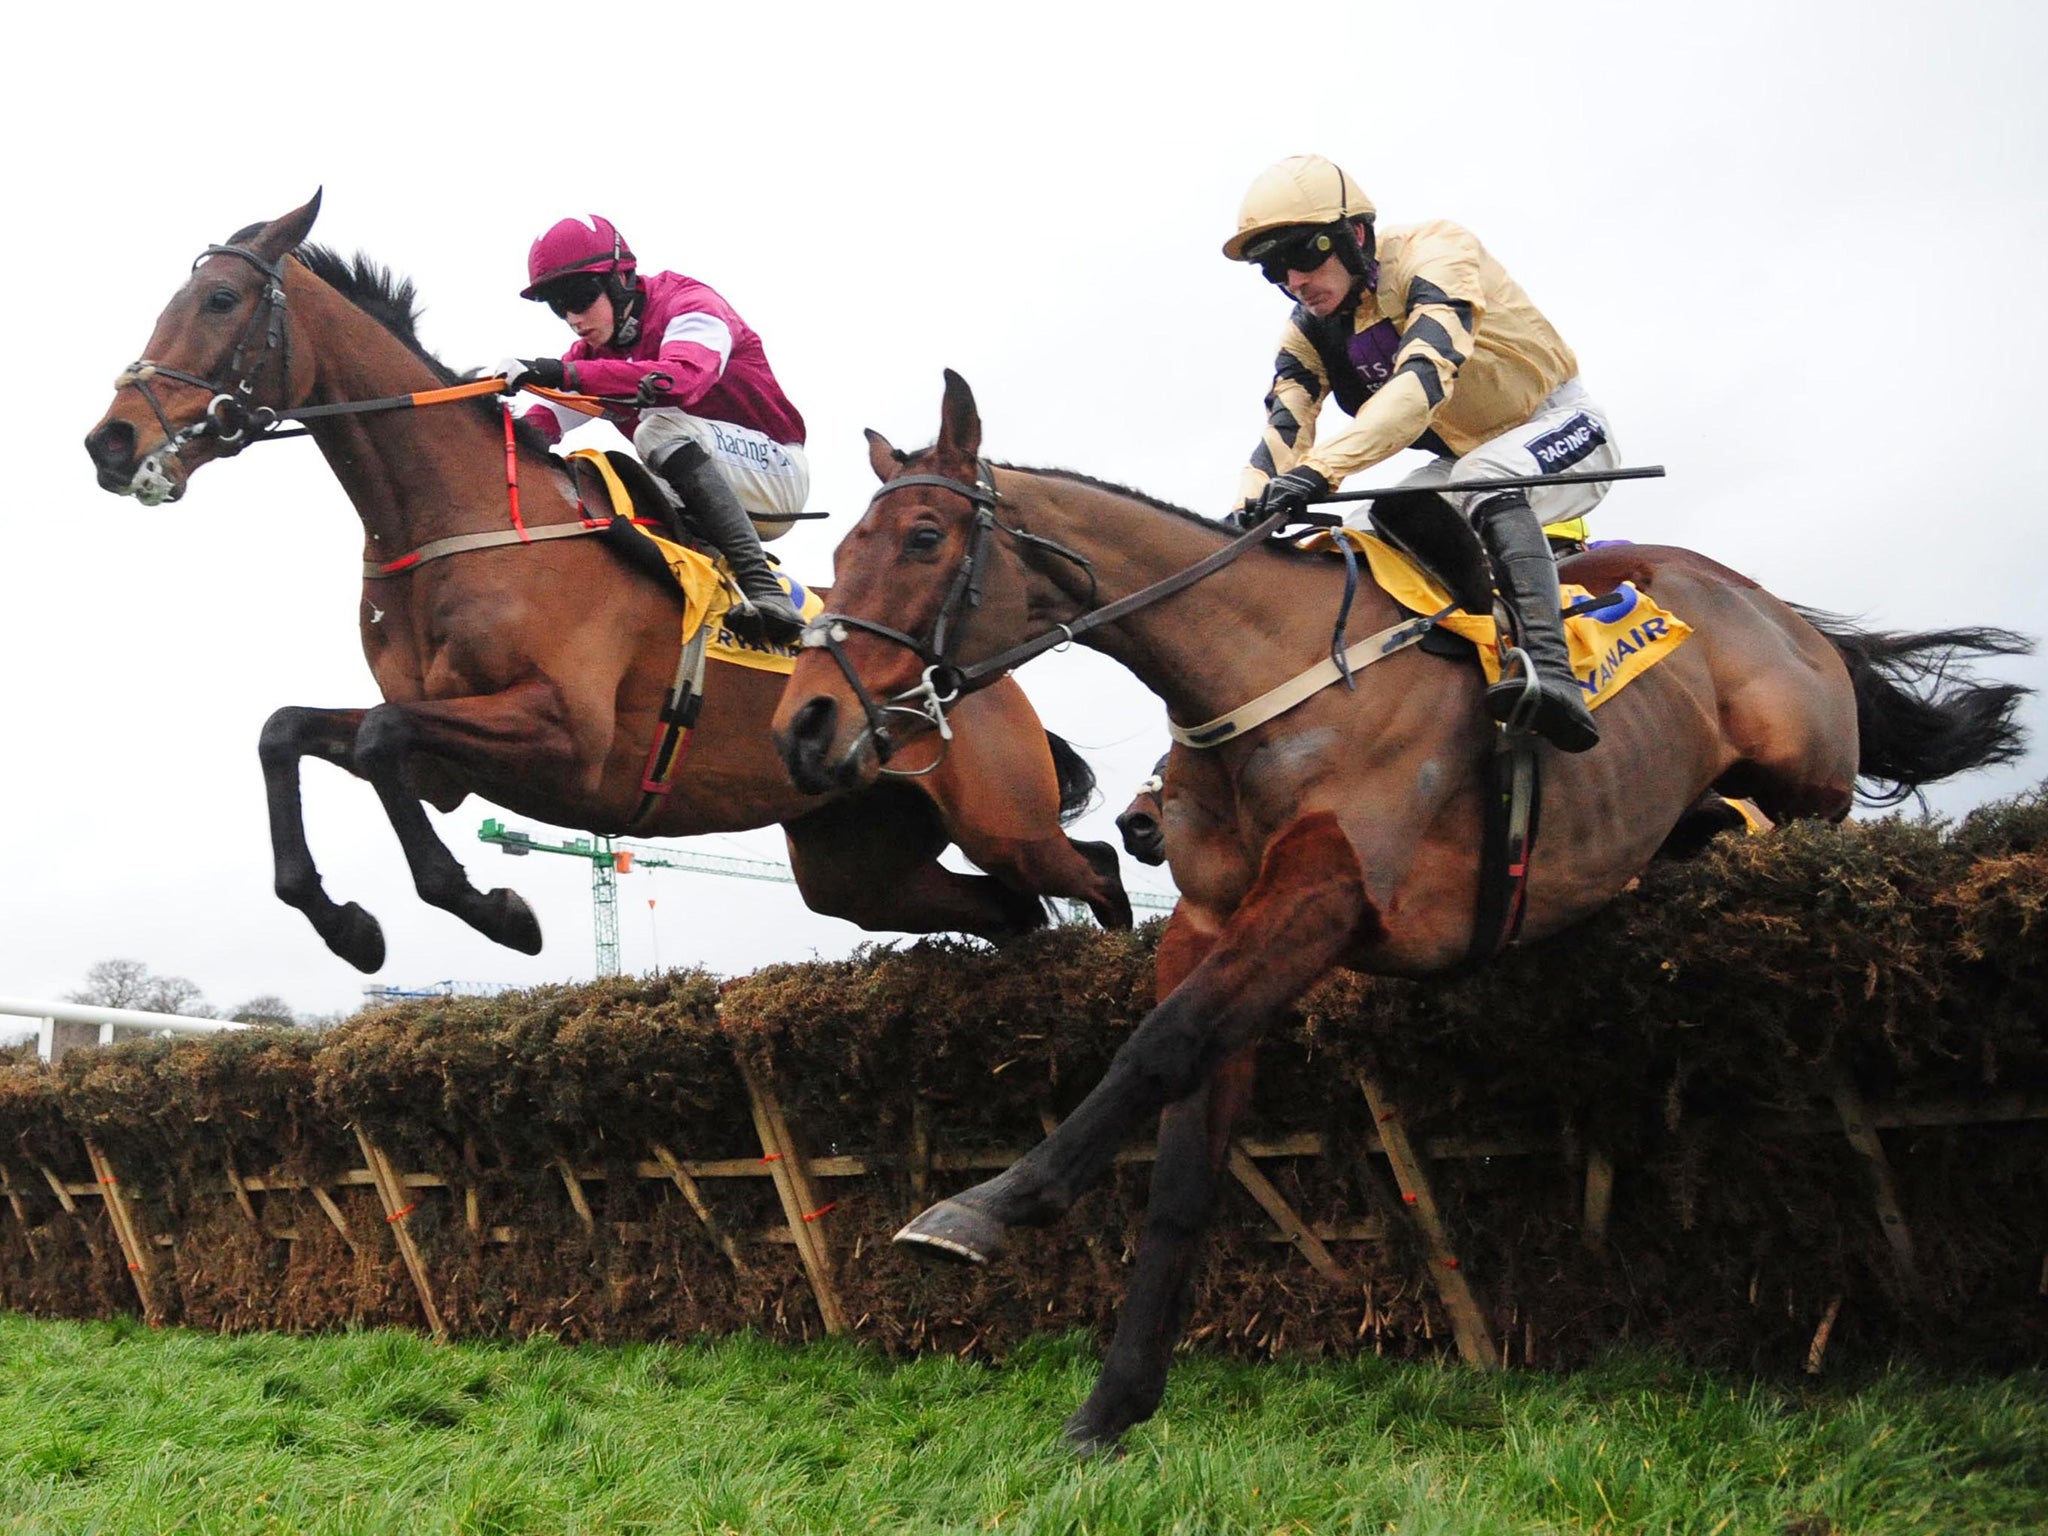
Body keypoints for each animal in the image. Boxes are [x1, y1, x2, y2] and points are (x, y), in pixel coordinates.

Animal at [79, 201, 1130, 974]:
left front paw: (497, 910)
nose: (111, 442)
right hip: (858, 863)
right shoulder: (443, 741)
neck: (462, 518)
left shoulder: (565, 733)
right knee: (1011, 911)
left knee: (1099, 872)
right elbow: (289, 732)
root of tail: (973, 677)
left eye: (220, 299)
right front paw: (350, 925)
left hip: (1004, 818)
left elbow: (378, 741)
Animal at [770, 372, 2031, 1458]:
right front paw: (1110, 1409)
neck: (1261, 671)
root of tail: (1777, 613)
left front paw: (983, 1206)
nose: (803, 726)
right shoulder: (1214, 925)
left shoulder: (1324, 898)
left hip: (1804, 805)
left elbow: (1154, 1048)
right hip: (1689, 828)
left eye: (922, 541)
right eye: (836, 551)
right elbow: (1181, 1162)